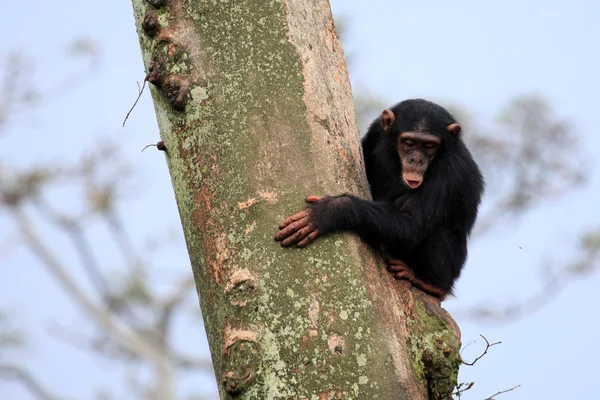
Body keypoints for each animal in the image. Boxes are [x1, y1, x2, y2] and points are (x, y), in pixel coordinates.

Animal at [274, 98, 486, 298]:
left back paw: (430, 283)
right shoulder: (377, 129)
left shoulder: (450, 172)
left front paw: (330, 211)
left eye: (429, 146)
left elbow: (410, 225)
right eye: (408, 142)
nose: (417, 159)